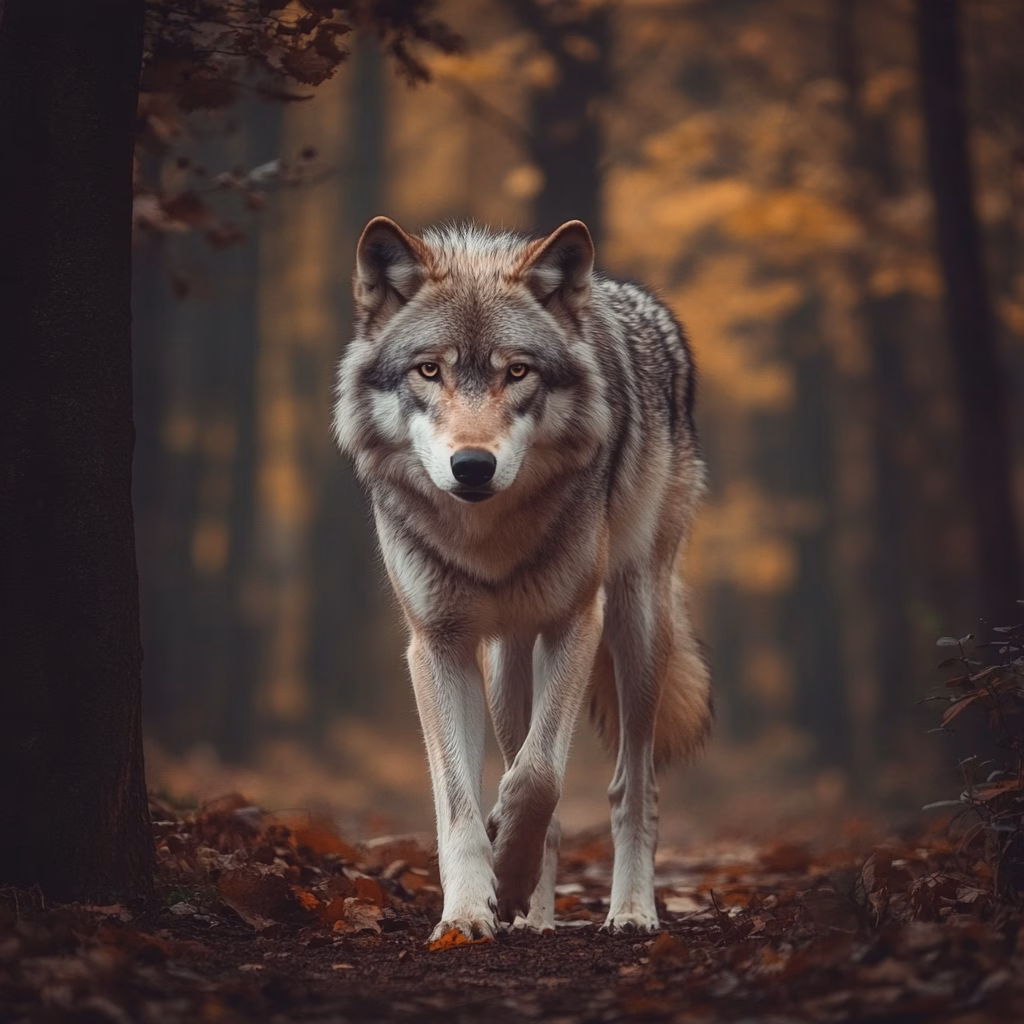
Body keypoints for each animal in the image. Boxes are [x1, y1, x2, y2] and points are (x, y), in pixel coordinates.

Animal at [332, 216, 711, 941]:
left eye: (517, 371)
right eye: (430, 369)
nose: (473, 466)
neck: (488, 539)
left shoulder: (575, 623)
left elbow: (537, 778)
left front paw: (505, 877)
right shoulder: (438, 645)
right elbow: (465, 800)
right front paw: (469, 910)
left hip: (636, 624)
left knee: (632, 788)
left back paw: (630, 910)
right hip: (508, 658)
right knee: (529, 779)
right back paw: (534, 918)